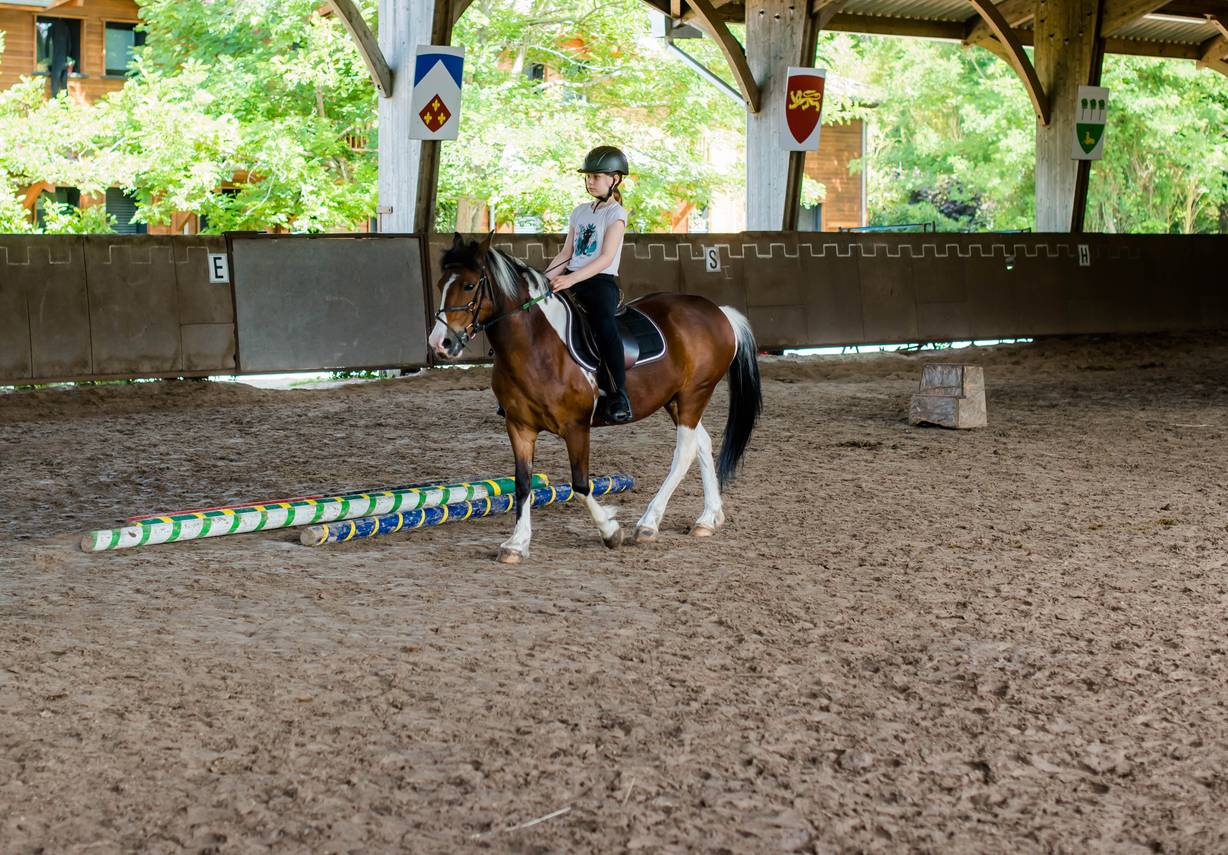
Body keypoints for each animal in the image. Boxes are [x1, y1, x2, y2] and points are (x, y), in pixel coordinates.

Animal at [429, 233, 756, 565]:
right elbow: (522, 484)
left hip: (695, 393)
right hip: (675, 399)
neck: (535, 344)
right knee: (702, 443)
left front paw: (611, 532)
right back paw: (708, 519)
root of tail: (719, 312)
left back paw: (649, 524)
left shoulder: (576, 426)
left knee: (685, 452)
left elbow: (581, 484)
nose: (441, 344)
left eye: (469, 285)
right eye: (441, 283)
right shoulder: (519, 426)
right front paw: (516, 544)